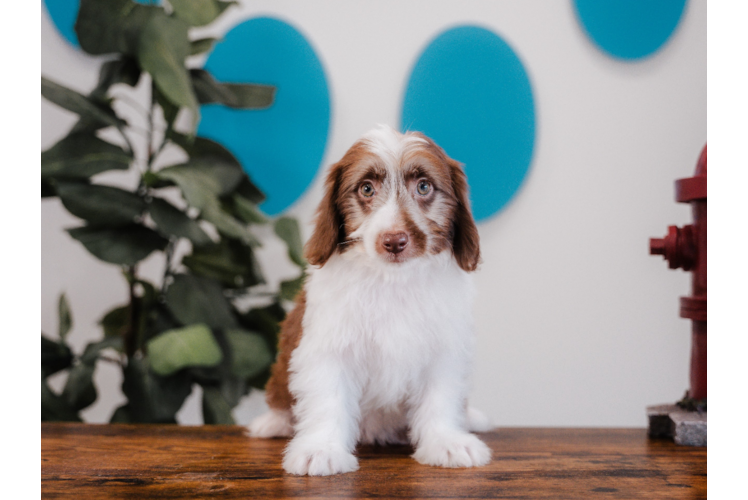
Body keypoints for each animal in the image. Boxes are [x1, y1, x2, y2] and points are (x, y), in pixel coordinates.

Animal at [248, 125, 488, 476]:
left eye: (424, 186)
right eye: (366, 188)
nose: (394, 240)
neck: (392, 280)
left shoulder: (443, 347)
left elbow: (440, 396)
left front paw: (446, 441)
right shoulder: (329, 345)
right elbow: (327, 397)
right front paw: (321, 449)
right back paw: (272, 422)